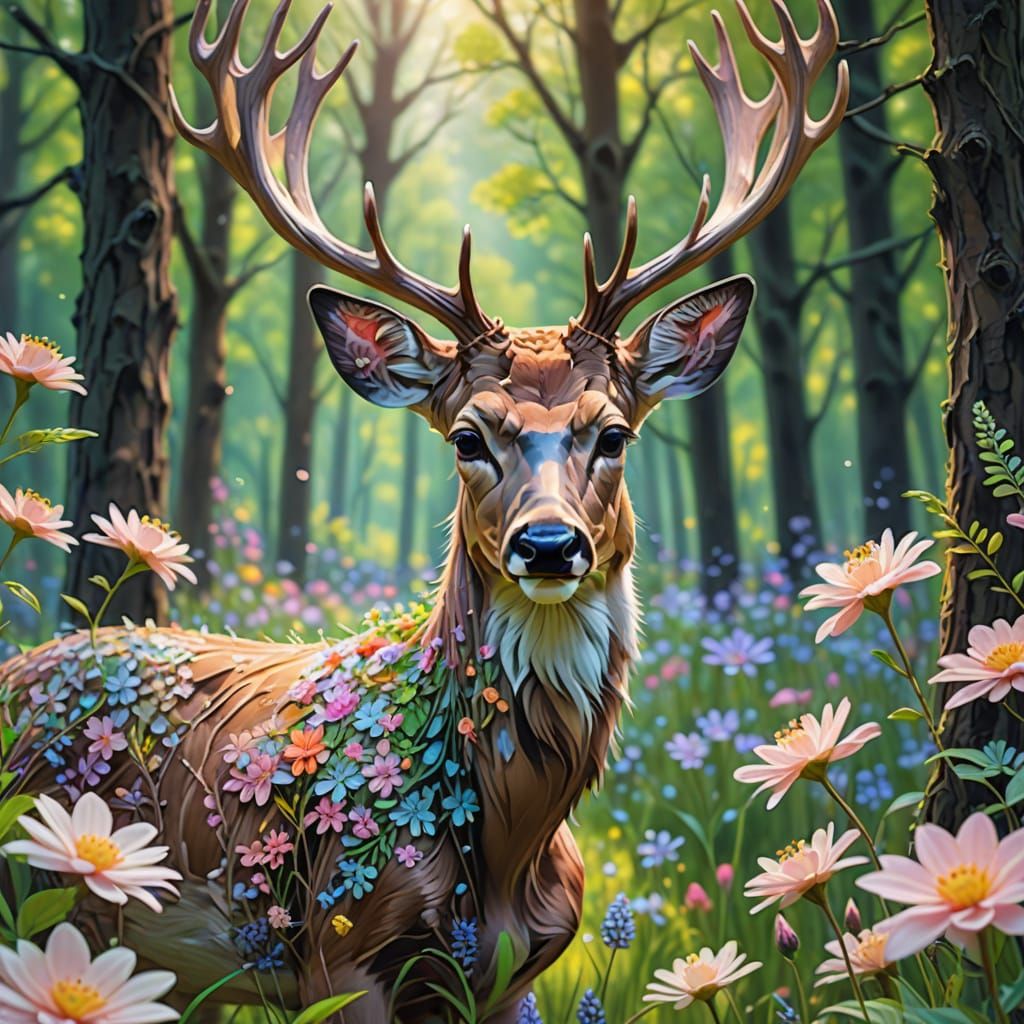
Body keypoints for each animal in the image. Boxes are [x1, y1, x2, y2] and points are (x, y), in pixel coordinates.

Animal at [1, 0, 847, 1019]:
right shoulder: (341, 951)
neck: (512, 846)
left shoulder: (516, 975)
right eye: (467, 437)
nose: (549, 544)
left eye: (613, 432)